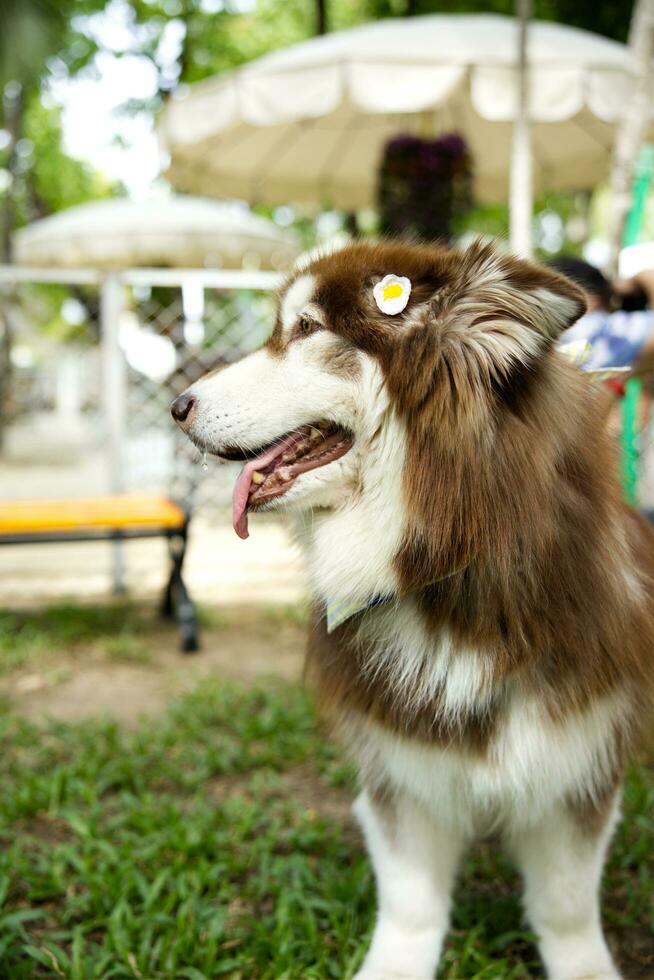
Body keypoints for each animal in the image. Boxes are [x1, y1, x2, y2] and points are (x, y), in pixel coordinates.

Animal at [170, 239, 654, 980]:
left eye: (306, 330)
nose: (176, 404)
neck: (451, 566)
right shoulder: (400, 760)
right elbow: (412, 901)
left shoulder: (578, 753)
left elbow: (568, 905)